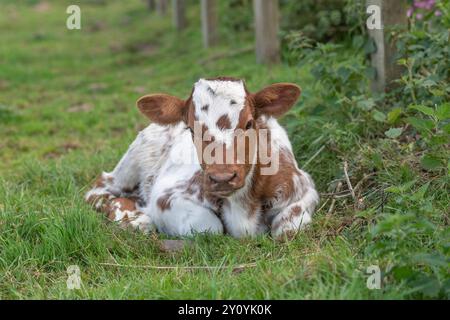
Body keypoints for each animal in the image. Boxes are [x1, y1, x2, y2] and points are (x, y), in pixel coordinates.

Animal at [86, 77, 318, 238]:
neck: (242, 208)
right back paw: (134, 218)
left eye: (249, 123)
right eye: (191, 129)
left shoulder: (304, 186)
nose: (222, 178)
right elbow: (209, 226)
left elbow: (287, 229)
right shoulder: (167, 196)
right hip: (134, 159)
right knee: (99, 189)